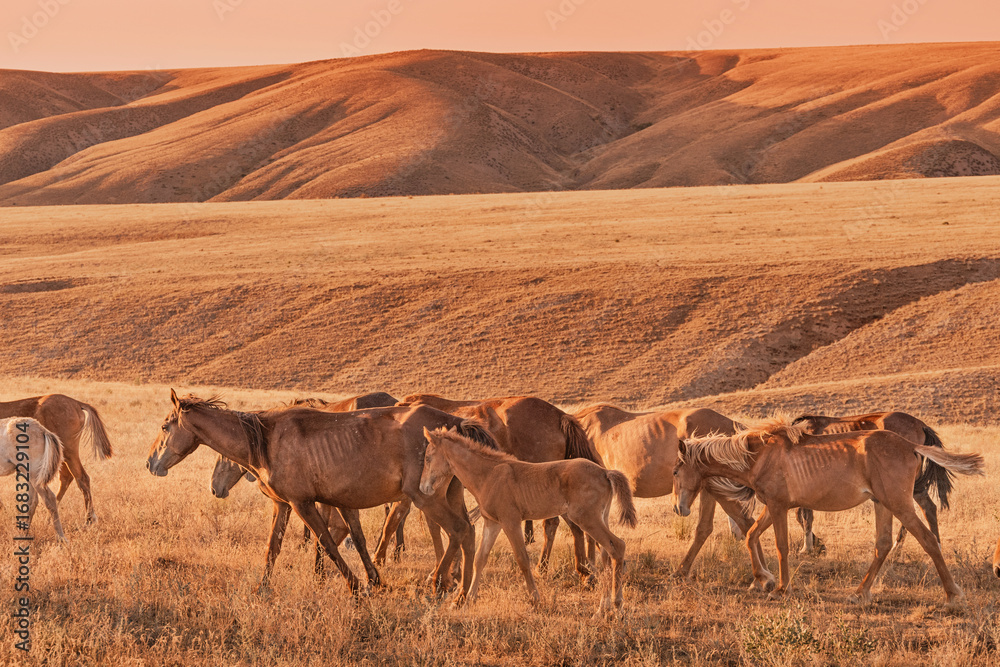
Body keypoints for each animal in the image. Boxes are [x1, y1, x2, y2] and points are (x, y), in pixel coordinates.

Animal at [0, 394, 113, 523]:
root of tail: (76, 403)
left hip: (69, 452)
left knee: (82, 478)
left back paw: (89, 519)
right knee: (66, 477)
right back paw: (50, 518)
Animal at [147, 391, 495, 599]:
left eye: (165, 427)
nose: (150, 463)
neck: (266, 440)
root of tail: (453, 422)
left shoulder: (304, 504)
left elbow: (327, 542)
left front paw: (356, 586)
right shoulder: (284, 505)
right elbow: (273, 548)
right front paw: (261, 588)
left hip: (427, 498)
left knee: (458, 530)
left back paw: (437, 582)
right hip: (449, 494)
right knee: (467, 532)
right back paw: (461, 590)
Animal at [420, 427, 636, 614]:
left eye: (428, 458)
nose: (423, 488)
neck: (489, 474)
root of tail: (605, 472)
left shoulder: (510, 521)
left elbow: (522, 559)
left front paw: (535, 600)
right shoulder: (492, 523)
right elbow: (480, 558)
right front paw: (466, 601)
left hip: (586, 518)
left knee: (618, 546)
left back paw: (617, 606)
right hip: (600, 518)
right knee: (607, 555)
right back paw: (603, 608)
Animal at [793, 412, 952, 555]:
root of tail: (921, 425)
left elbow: (804, 516)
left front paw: (808, 548)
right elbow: (801, 515)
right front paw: (816, 544)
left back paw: (898, 548)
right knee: (928, 507)